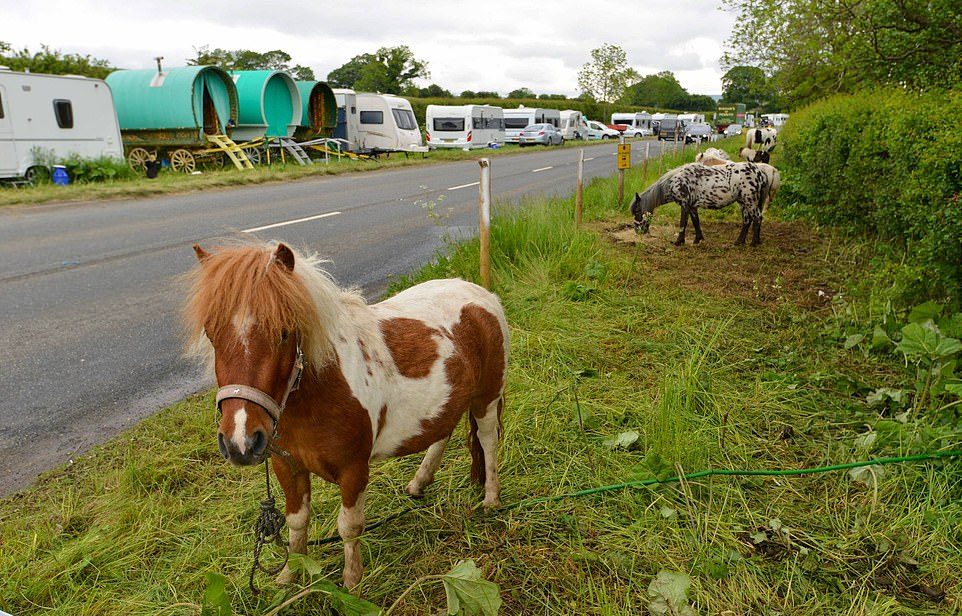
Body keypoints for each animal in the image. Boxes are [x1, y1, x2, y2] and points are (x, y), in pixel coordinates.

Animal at [182, 241, 510, 588]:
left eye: (284, 333)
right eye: (211, 334)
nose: (240, 442)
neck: (324, 388)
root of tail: (480, 295)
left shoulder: (354, 470)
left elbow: (349, 526)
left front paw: (353, 582)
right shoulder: (288, 466)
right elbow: (296, 522)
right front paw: (288, 576)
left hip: (487, 398)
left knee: (487, 440)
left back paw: (491, 498)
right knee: (442, 432)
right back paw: (419, 483)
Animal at [632, 162, 772, 247]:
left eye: (637, 211)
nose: (637, 230)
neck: (677, 181)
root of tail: (760, 172)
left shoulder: (685, 205)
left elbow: (683, 223)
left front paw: (679, 242)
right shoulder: (692, 206)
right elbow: (696, 222)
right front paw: (697, 240)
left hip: (750, 201)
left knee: (757, 218)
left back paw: (754, 242)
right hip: (742, 202)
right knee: (747, 220)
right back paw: (739, 242)